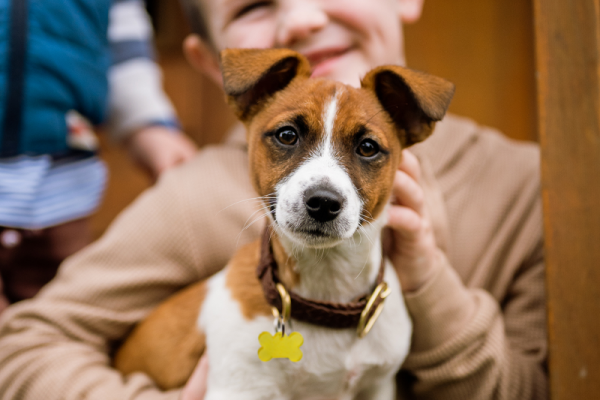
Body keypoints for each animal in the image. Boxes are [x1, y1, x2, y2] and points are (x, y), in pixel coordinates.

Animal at [113, 47, 454, 400]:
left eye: (368, 147)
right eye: (287, 135)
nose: (323, 202)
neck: (326, 289)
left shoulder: (378, 386)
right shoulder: (238, 387)